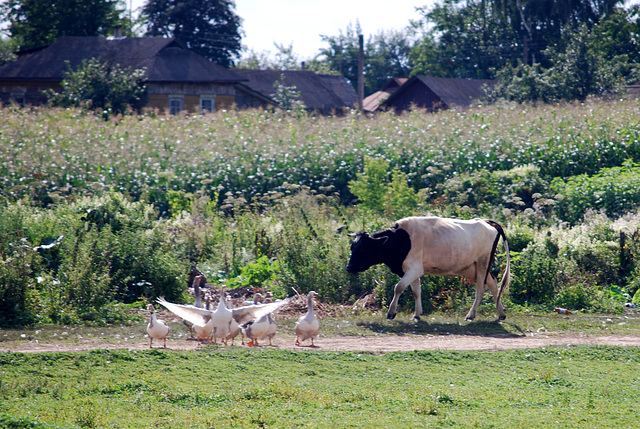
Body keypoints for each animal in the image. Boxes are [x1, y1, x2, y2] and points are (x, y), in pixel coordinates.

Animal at [344, 216, 510, 320]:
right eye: (352, 247)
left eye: (362, 249)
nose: (349, 267)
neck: (402, 239)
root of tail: (485, 221)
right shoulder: (411, 270)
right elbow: (416, 291)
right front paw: (417, 314)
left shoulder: (414, 269)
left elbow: (398, 287)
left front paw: (391, 312)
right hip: (474, 267)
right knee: (493, 283)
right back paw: (501, 313)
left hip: (483, 263)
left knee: (481, 289)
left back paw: (471, 315)